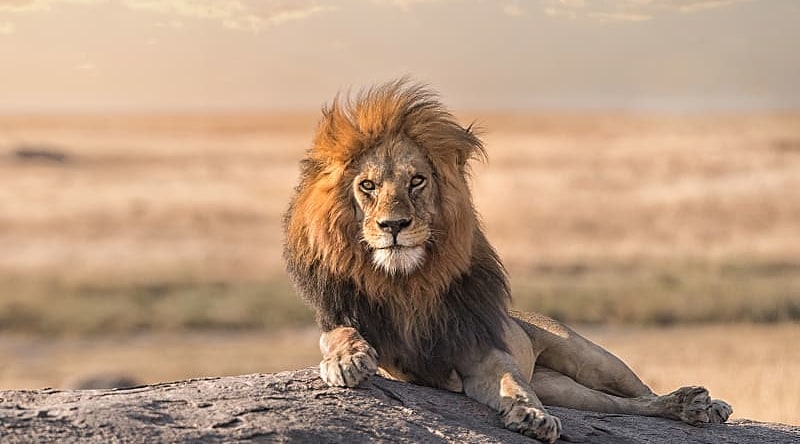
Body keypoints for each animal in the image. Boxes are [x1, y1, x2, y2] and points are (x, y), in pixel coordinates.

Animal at [283, 80, 732, 443]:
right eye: (368, 186)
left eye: (417, 181)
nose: (393, 225)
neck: (407, 281)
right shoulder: (362, 331)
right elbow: (338, 334)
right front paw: (347, 360)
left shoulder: (480, 348)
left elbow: (511, 382)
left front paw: (532, 416)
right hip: (564, 389)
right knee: (617, 407)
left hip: (589, 359)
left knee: (638, 394)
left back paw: (701, 405)